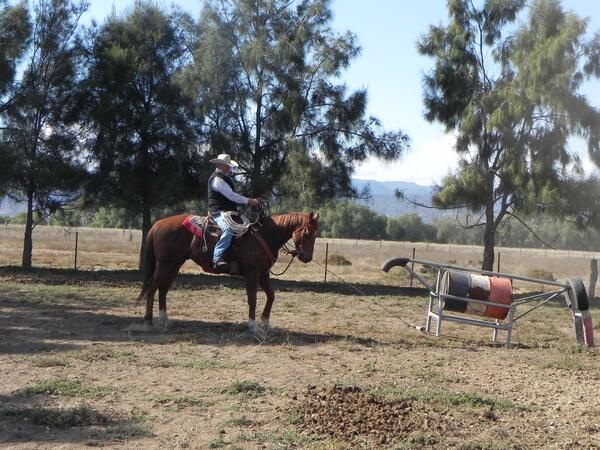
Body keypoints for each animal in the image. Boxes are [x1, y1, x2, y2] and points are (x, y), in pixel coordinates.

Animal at [132, 212, 318, 334]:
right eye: (307, 232)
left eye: (316, 234)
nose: (307, 257)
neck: (264, 235)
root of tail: (157, 224)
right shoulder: (252, 273)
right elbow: (253, 299)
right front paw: (253, 326)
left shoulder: (263, 273)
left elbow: (271, 296)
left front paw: (265, 322)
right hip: (165, 264)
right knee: (153, 288)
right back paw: (148, 321)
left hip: (174, 264)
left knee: (163, 289)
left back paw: (164, 320)